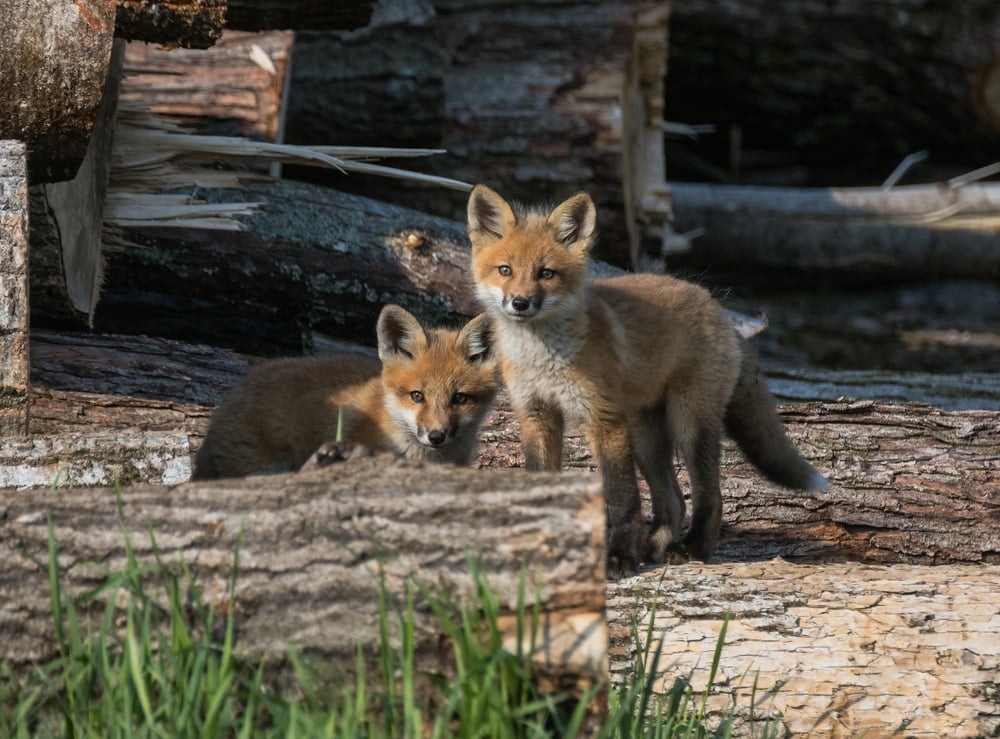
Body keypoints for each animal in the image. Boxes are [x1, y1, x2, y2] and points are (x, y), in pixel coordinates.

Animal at [466, 184, 827, 573]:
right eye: (505, 270)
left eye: (546, 273)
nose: (520, 303)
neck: (542, 358)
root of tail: (718, 307)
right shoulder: (537, 415)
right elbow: (542, 484)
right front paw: (542, 551)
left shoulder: (604, 420)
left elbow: (621, 499)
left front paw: (620, 557)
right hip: (645, 437)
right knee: (673, 501)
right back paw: (654, 548)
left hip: (688, 424)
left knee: (709, 495)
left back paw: (693, 547)